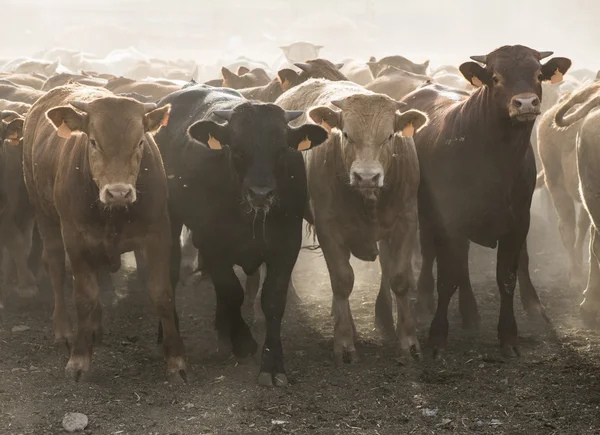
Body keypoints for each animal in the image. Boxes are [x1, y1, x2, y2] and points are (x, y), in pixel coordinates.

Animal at [22, 84, 185, 382]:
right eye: (94, 142)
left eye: (140, 142)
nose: (118, 192)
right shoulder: (74, 238)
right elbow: (84, 297)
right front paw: (79, 357)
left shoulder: (158, 233)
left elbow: (162, 295)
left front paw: (176, 358)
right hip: (44, 214)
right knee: (55, 267)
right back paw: (64, 328)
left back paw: (95, 328)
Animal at [152, 85, 326, 388]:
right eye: (238, 148)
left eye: (281, 149)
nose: (260, 193)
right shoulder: (212, 244)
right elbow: (232, 291)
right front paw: (243, 341)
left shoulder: (286, 247)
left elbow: (272, 301)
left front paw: (272, 364)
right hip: (170, 221)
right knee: (171, 272)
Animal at [274, 81, 428, 364]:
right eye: (346, 135)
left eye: (389, 136)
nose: (366, 177)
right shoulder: (329, 228)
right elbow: (342, 281)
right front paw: (344, 343)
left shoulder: (406, 220)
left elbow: (399, 279)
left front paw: (409, 341)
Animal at [400, 45, 568, 358]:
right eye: (496, 77)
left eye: (538, 75)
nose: (525, 103)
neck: (496, 160)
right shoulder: (450, 219)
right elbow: (447, 278)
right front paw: (437, 337)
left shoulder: (517, 222)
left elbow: (506, 277)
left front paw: (509, 337)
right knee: (433, 255)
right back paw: (427, 301)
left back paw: (470, 313)